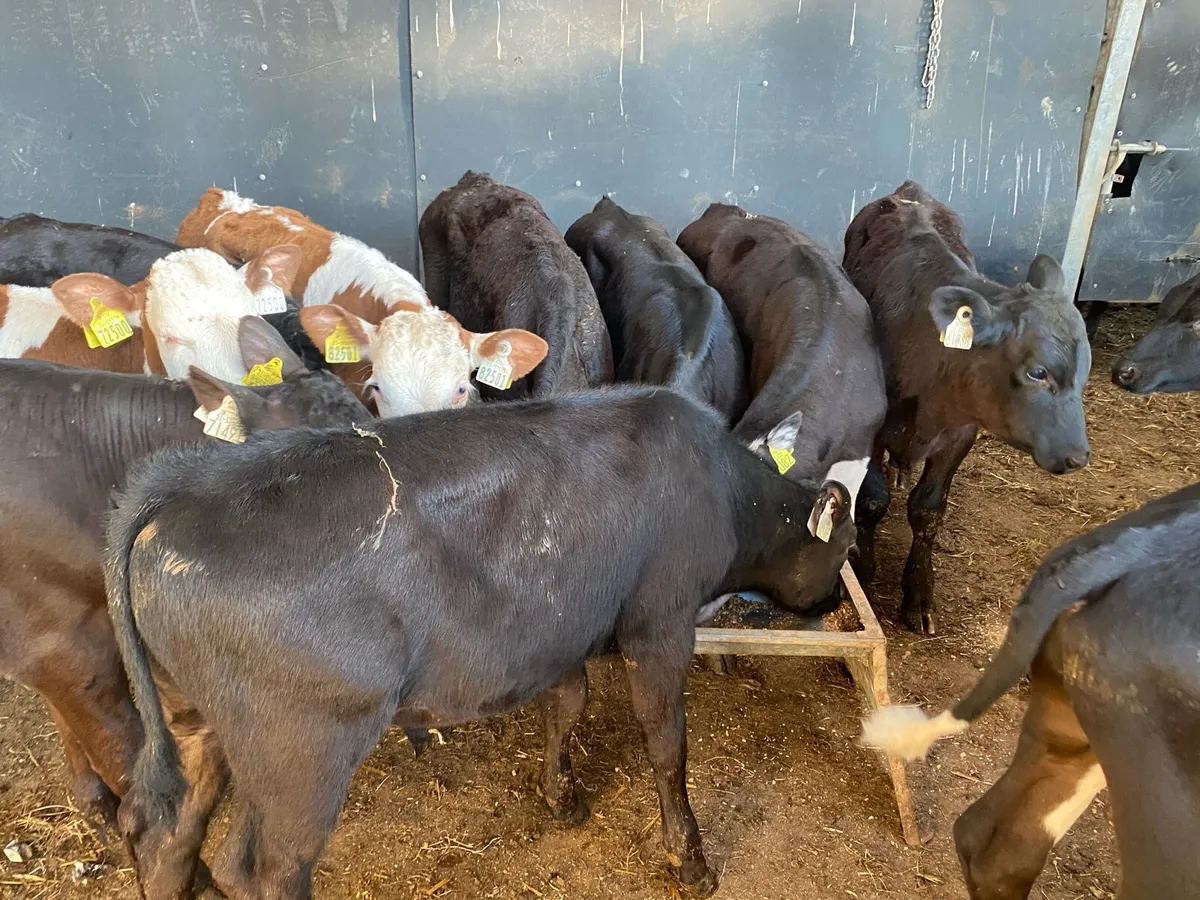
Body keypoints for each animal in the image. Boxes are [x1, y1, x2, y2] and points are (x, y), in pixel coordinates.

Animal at [103, 387, 855, 900]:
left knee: (160, 831)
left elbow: (568, 705)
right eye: (846, 547)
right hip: (302, 751)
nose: (838, 600)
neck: (724, 488)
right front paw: (690, 860)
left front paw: (562, 797)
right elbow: (667, 747)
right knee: (265, 869)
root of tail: (184, 484)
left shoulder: (557, 630)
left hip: (194, 719)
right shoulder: (661, 623)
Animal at [842, 181, 1091, 634]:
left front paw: (919, 595)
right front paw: (864, 570)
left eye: (1086, 369)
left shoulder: (960, 434)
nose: (1077, 455)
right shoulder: (869, 428)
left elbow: (927, 510)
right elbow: (872, 499)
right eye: (1037, 371)